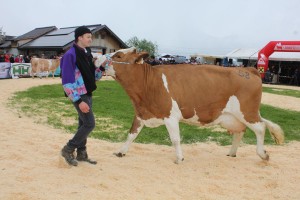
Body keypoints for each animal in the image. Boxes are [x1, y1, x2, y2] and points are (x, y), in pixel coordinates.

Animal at [98, 48, 284, 164]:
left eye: (119, 56)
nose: (97, 57)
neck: (148, 84)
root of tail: (248, 70)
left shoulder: (170, 116)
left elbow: (175, 139)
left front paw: (179, 158)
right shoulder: (141, 113)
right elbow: (131, 134)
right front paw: (120, 151)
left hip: (247, 111)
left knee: (260, 128)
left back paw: (263, 154)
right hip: (231, 117)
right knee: (239, 131)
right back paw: (231, 153)